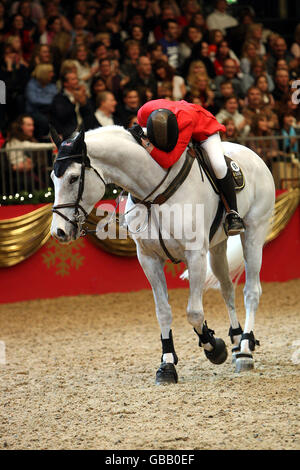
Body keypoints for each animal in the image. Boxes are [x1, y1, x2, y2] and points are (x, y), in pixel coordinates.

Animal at [50, 125, 276, 382]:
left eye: (73, 178)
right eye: (53, 179)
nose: (58, 232)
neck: (153, 196)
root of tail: (254, 154)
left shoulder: (195, 255)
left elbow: (194, 313)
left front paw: (214, 347)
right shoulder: (149, 258)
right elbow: (163, 312)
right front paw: (167, 364)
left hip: (254, 233)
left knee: (251, 291)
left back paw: (246, 349)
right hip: (217, 247)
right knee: (227, 288)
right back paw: (237, 340)